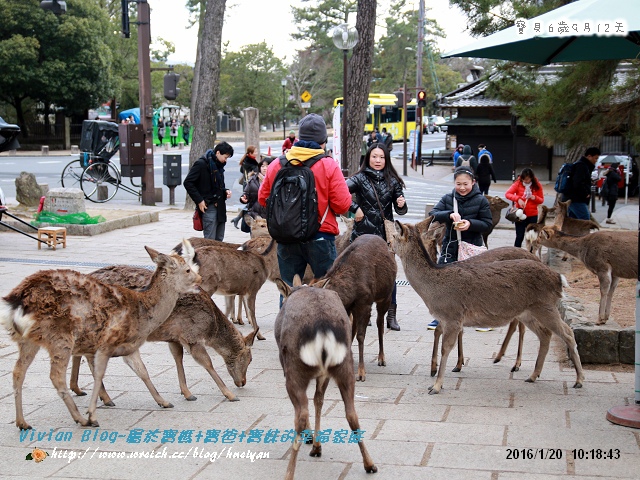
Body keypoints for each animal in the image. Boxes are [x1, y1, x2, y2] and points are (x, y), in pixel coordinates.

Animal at [0, 240, 200, 428]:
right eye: (188, 269)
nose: (199, 279)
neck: (144, 313)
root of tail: (16, 302)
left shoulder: (130, 347)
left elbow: (143, 372)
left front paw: (164, 402)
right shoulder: (107, 342)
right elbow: (99, 375)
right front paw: (92, 415)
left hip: (28, 340)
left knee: (18, 372)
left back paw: (22, 422)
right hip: (60, 337)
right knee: (55, 376)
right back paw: (81, 419)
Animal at [70, 266, 258, 404]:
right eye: (249, 359)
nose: (242, 382)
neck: (211, 327)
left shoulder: (174, 337)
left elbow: (178, 358)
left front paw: (187, 392)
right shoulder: (192, 335)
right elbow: (207, 363)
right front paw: (230, 394)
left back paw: (78, 389)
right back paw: (105, 397)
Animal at [274, 276, 376, 478]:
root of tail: (322, 330)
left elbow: (311, 403)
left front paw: (311, 439)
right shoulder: (324, 375)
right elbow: (318, 400)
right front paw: (317, 446)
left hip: (294, 370)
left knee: (301, 414)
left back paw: (289, 473)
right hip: (344, 367)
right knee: (351, 413)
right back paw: (369, 464)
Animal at [310, 234, 396, 380]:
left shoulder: (365, 303)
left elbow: (361, 336)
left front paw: (361, 373)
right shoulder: (350, 306)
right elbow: (349, 332)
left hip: (386, 296)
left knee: (380, 323)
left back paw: (381, 358)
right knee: (355, 326)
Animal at [390, 219, 584, 396]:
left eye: (393, 236)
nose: (388, 245)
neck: (432, 290)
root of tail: (559, 278)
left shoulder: (453, 315)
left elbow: (446, 348)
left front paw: (436, 386)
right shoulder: (446, 319)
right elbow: (440, 337)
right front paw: (441, 374)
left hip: (545, 306)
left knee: (567, 332)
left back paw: (579, 380)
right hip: (528, 312)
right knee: (545, 334)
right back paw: (532, 375)